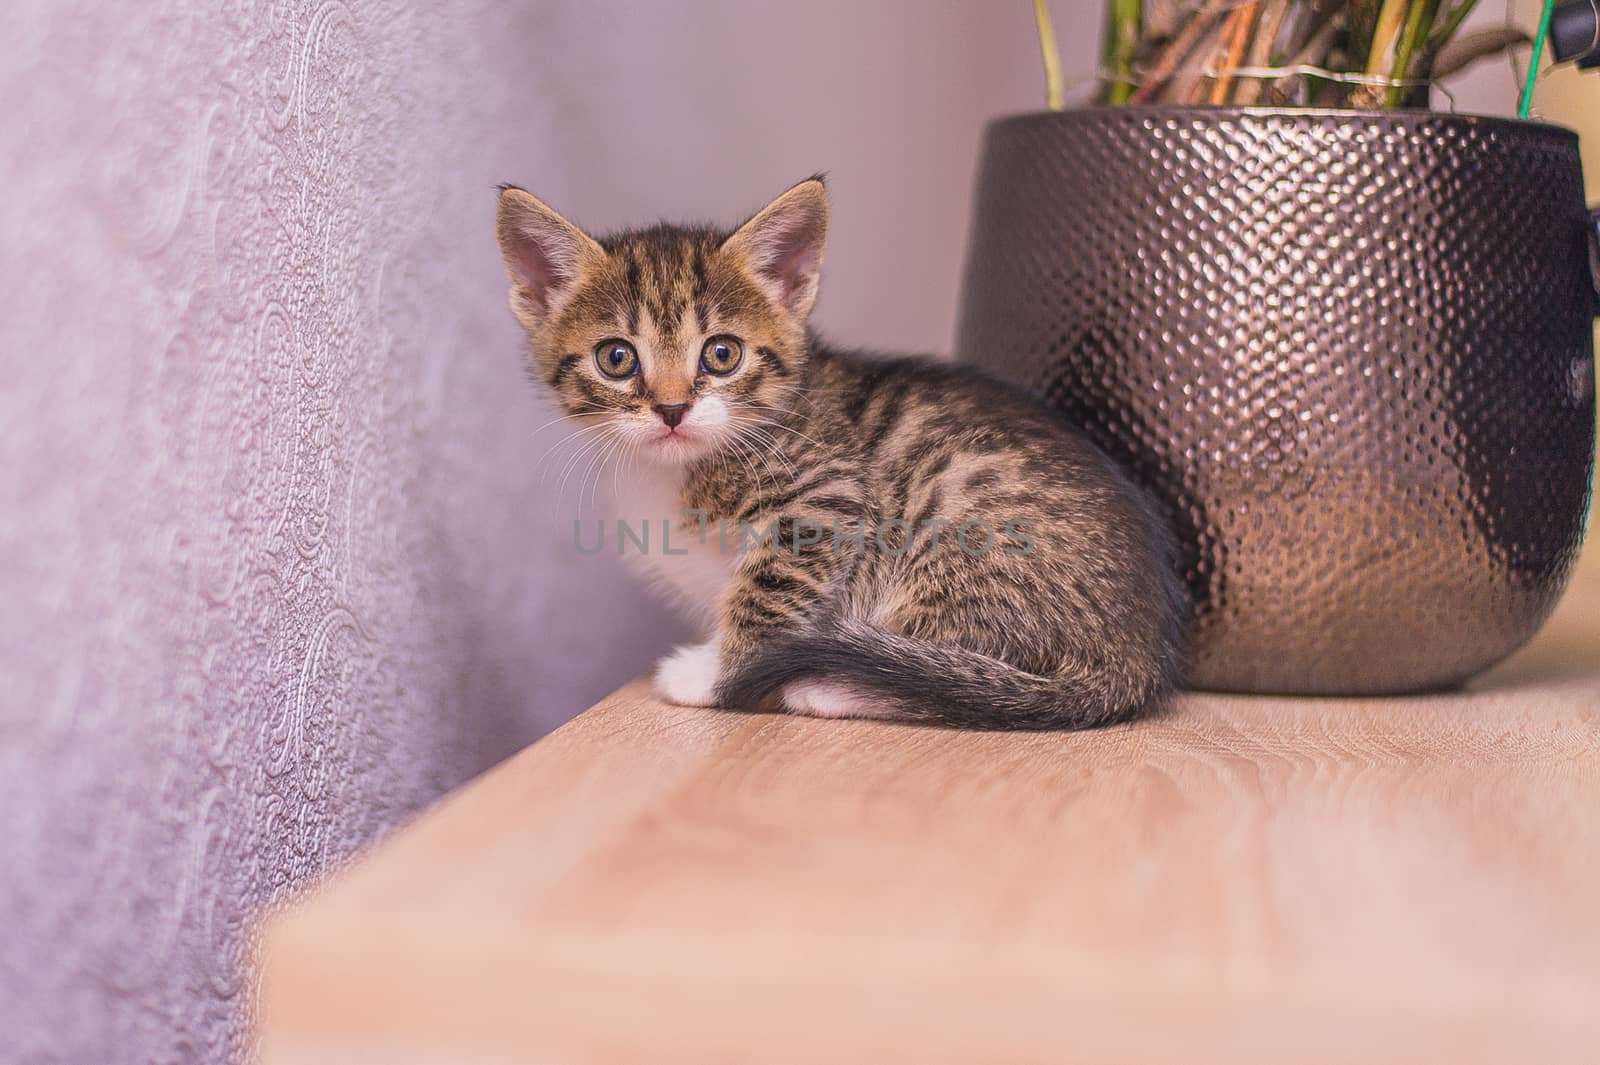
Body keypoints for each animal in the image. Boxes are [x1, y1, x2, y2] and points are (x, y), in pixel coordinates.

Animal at [499, 178, 1190, 725]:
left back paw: (831, 687)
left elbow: (769, 597)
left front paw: (718, 677)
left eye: (722, 354)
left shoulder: (822, 498)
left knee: (953, 680)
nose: (671, 410)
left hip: (961, 522)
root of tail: (1136, 660)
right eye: (617, 358)